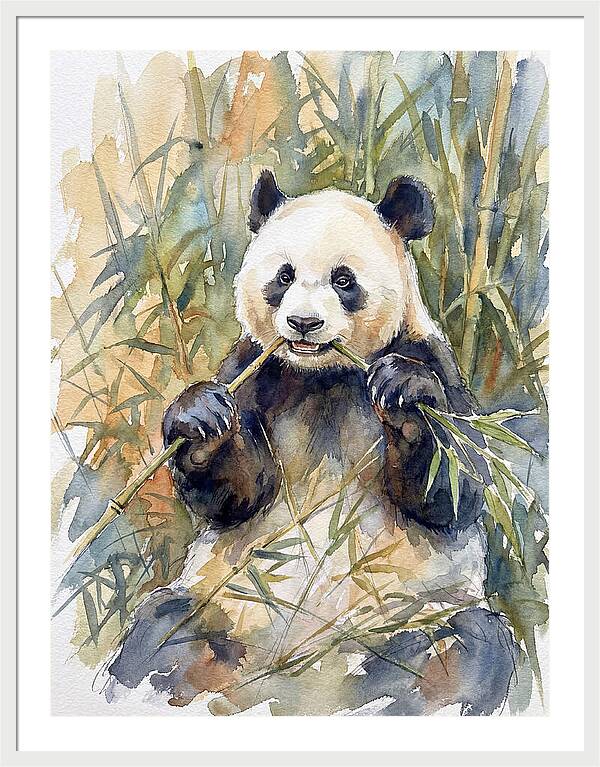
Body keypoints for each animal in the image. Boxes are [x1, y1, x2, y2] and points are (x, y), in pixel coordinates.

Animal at [107, 171, 517, 715]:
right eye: (284, 276)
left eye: (343, 280)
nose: (303, 323)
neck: (324, 376)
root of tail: (299, 674)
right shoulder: (256, 369)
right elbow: (240, 494)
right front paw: (200, 419)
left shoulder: (429, 356)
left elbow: (455, 488)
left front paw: (405, 396)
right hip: (226, 605)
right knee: (160, 634)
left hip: (411, 616)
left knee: (468, 649)